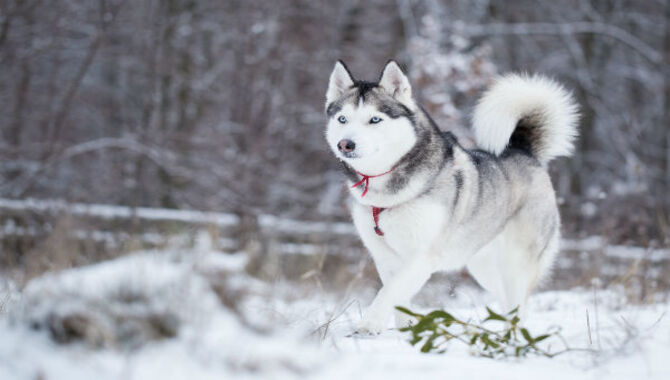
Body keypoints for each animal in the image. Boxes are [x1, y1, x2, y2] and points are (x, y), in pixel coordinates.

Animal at [324, 60, 576, 334]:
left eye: (375, 119)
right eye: (342, 119)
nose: (345, 144)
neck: (387, 192)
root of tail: (523, 151)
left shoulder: (423, 255)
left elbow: (389, 293)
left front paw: (369, 325)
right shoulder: (385, 257)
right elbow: (397, 297)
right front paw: (405, 331)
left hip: (516, 262)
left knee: (520, 304)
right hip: (484, 267)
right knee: (508, 300)